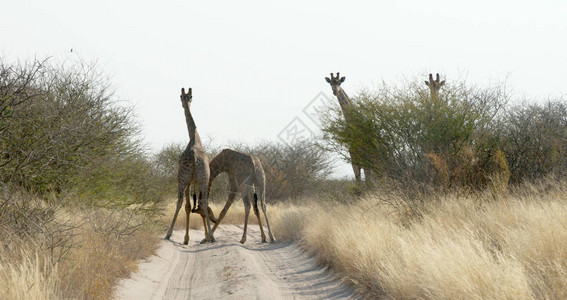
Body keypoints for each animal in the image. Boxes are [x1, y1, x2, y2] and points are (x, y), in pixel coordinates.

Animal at [166, 86, 217, 244]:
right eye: (185, 96)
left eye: (181, 96)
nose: (184, 103)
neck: (194, 139)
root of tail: (194, 158)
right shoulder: (196, 181)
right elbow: (196, 206)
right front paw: (195, 237)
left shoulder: (189, 182)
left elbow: (188, 207)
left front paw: (186, 238)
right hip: (202, 179)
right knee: (203, 202)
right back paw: (212, 237)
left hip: (183, 179)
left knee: (180, 201)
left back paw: (168, 234)